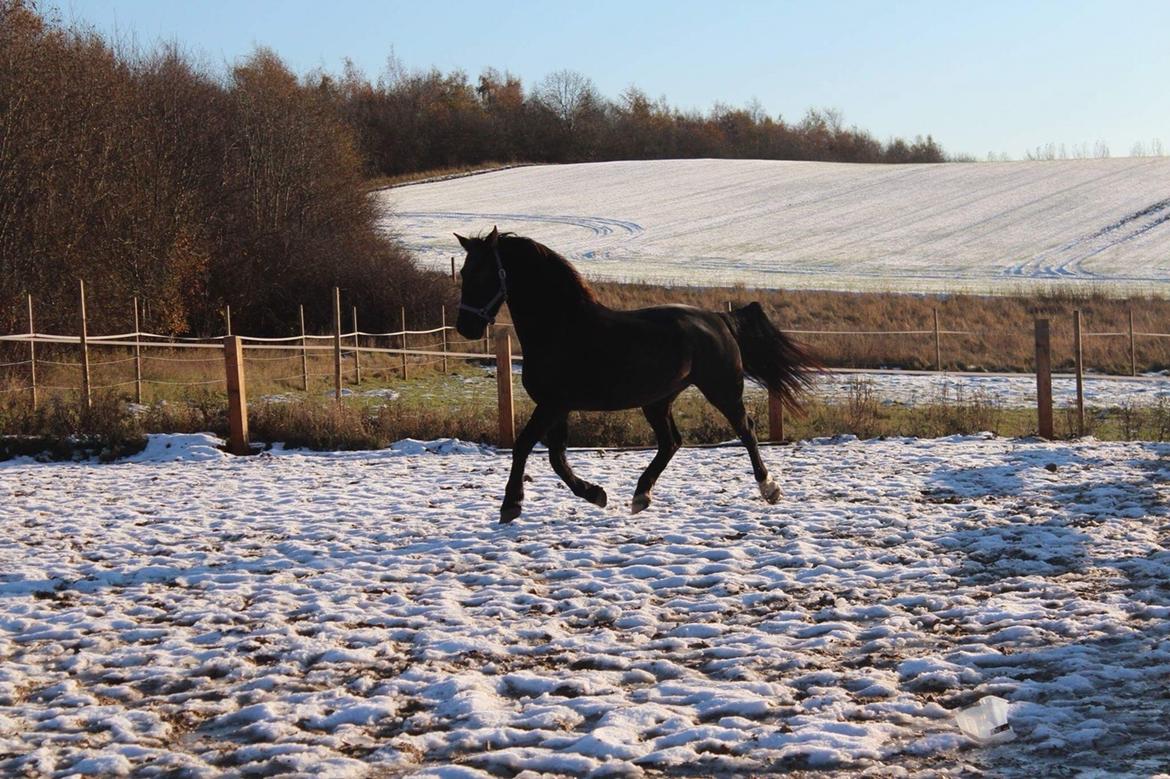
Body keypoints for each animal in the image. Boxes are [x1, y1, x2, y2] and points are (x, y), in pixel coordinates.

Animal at [451, 228, 819, 524]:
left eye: (483, 274)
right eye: (464, 272)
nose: (466, 328)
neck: (562, 328)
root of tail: (718, 319)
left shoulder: (553, 405)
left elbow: (525, 446)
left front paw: (510, 505)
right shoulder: (557, 406)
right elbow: (556, 457)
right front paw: (595, 494)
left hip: (722, 390)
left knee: (746, 430)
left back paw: (769, 488)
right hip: (658, 401)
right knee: (671, 442)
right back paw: (641, 495)